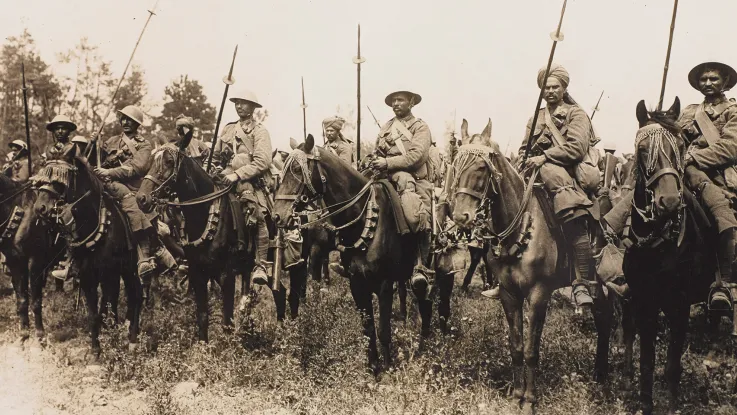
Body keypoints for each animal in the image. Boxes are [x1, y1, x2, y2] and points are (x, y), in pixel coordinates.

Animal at [31, 150, 142, 354]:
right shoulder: (88, 277)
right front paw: (96, 352)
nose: (39, 208)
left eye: (60, 180)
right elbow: (94, 314)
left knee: (135, 295)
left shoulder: (110, 274)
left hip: (130, 269)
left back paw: (132, 339)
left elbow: (110, 305)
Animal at [137, 141, 292, 340]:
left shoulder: (227, 275)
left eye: (169, 161)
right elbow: (202, 317)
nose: (141, 198)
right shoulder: (198, 273)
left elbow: (227, 322)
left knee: (279, 291)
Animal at [272, 136, 432, 374]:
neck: (365, 219)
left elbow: (383, 330)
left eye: (298, 170)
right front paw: (373, 367)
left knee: (424, 298)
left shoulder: (384, 285)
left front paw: (388, 367)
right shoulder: (357, 283)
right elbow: (368, 329)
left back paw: (425, 341)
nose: (277, 216)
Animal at [448, 122, 616, 414]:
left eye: (481, 168)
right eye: (456, 165)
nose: (461, 216)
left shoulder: (539, 295)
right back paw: (599, 373)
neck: (520, 226)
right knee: (603, 318)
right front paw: (516, 395)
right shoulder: (508, 294)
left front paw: (530, 399)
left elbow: (530, 349)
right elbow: (516, 346)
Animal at [616, 98, 720, 415]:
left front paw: (672, 404)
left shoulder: (680, 304)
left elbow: (673, 363)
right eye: (642, 150)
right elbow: (647, 361)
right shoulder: (644, 300)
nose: (670, 201)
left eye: (681, 145)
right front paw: (645, 402)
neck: (659, 244)